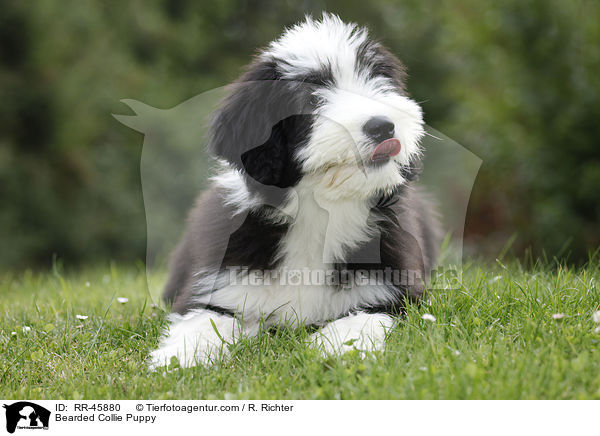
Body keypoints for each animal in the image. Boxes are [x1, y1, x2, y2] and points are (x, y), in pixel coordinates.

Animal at [150, 13, 440, 368]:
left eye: (379, 82)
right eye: (311, 98)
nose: (383, 126)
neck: (320, 210)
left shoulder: (394, 291)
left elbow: (364, 316)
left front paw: (337, 348)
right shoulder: (220, 281)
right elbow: (203, 318)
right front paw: (179, 357)